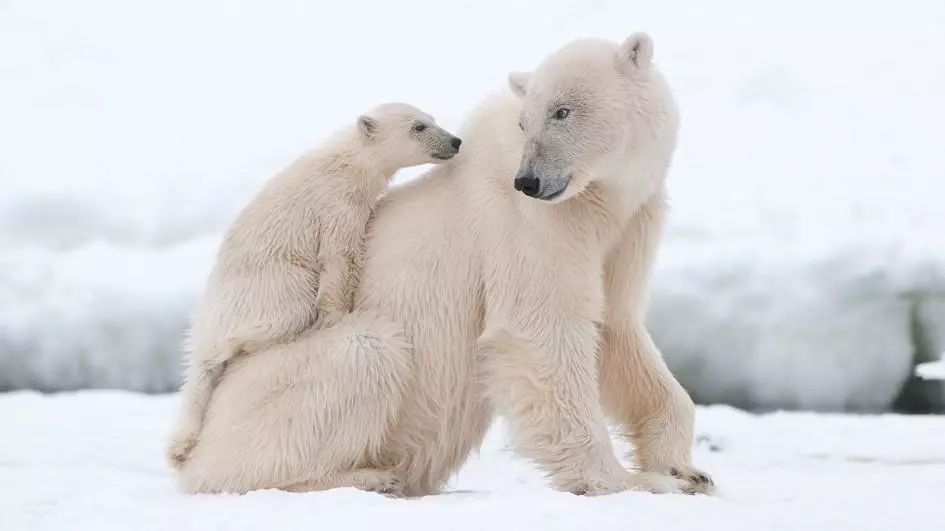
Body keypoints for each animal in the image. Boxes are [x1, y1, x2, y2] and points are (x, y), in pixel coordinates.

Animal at [177, 33, 712, 496]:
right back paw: (367, 475)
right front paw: (630, 480)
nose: (530, 181)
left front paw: (686, 470)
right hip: (274, 385)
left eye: (562, 111)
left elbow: (617, 328)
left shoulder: (627, 225)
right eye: (526, 121)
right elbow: (541, 329)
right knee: (362, 352)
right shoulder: (529, 225)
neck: (598, 200)